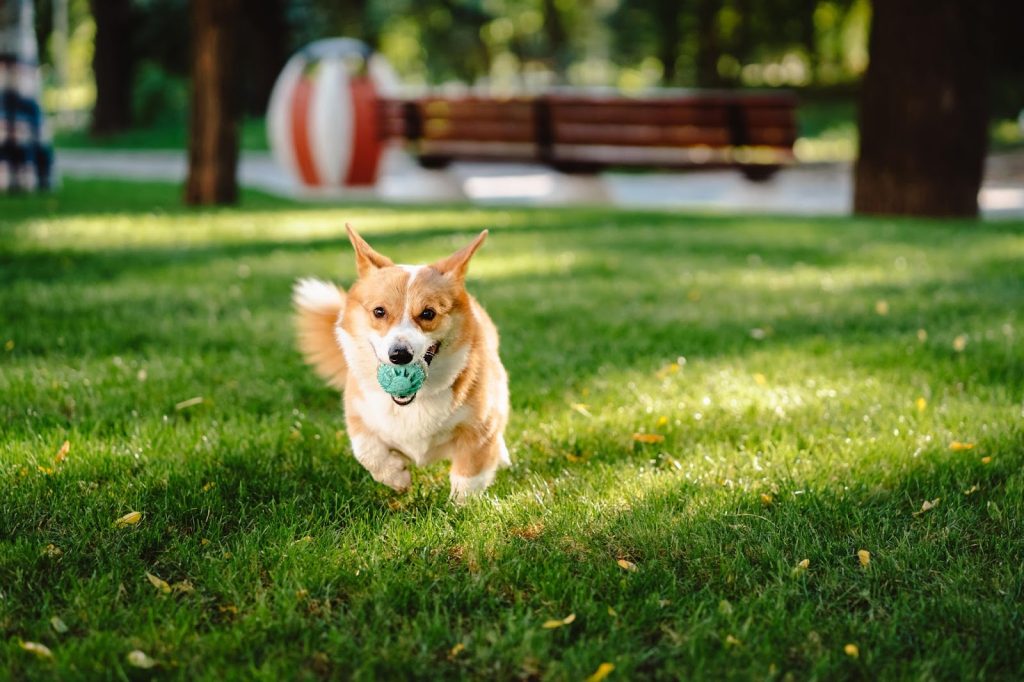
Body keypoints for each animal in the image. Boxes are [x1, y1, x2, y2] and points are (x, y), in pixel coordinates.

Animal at [292, 225, 507, 497]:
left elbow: (469, 475)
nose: (400, 355)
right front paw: (396, 477)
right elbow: (366, 449)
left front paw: (461, 504)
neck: (415, 402)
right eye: (379, 311)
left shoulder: (480, 427)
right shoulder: (358, 412)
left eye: (428, 313)